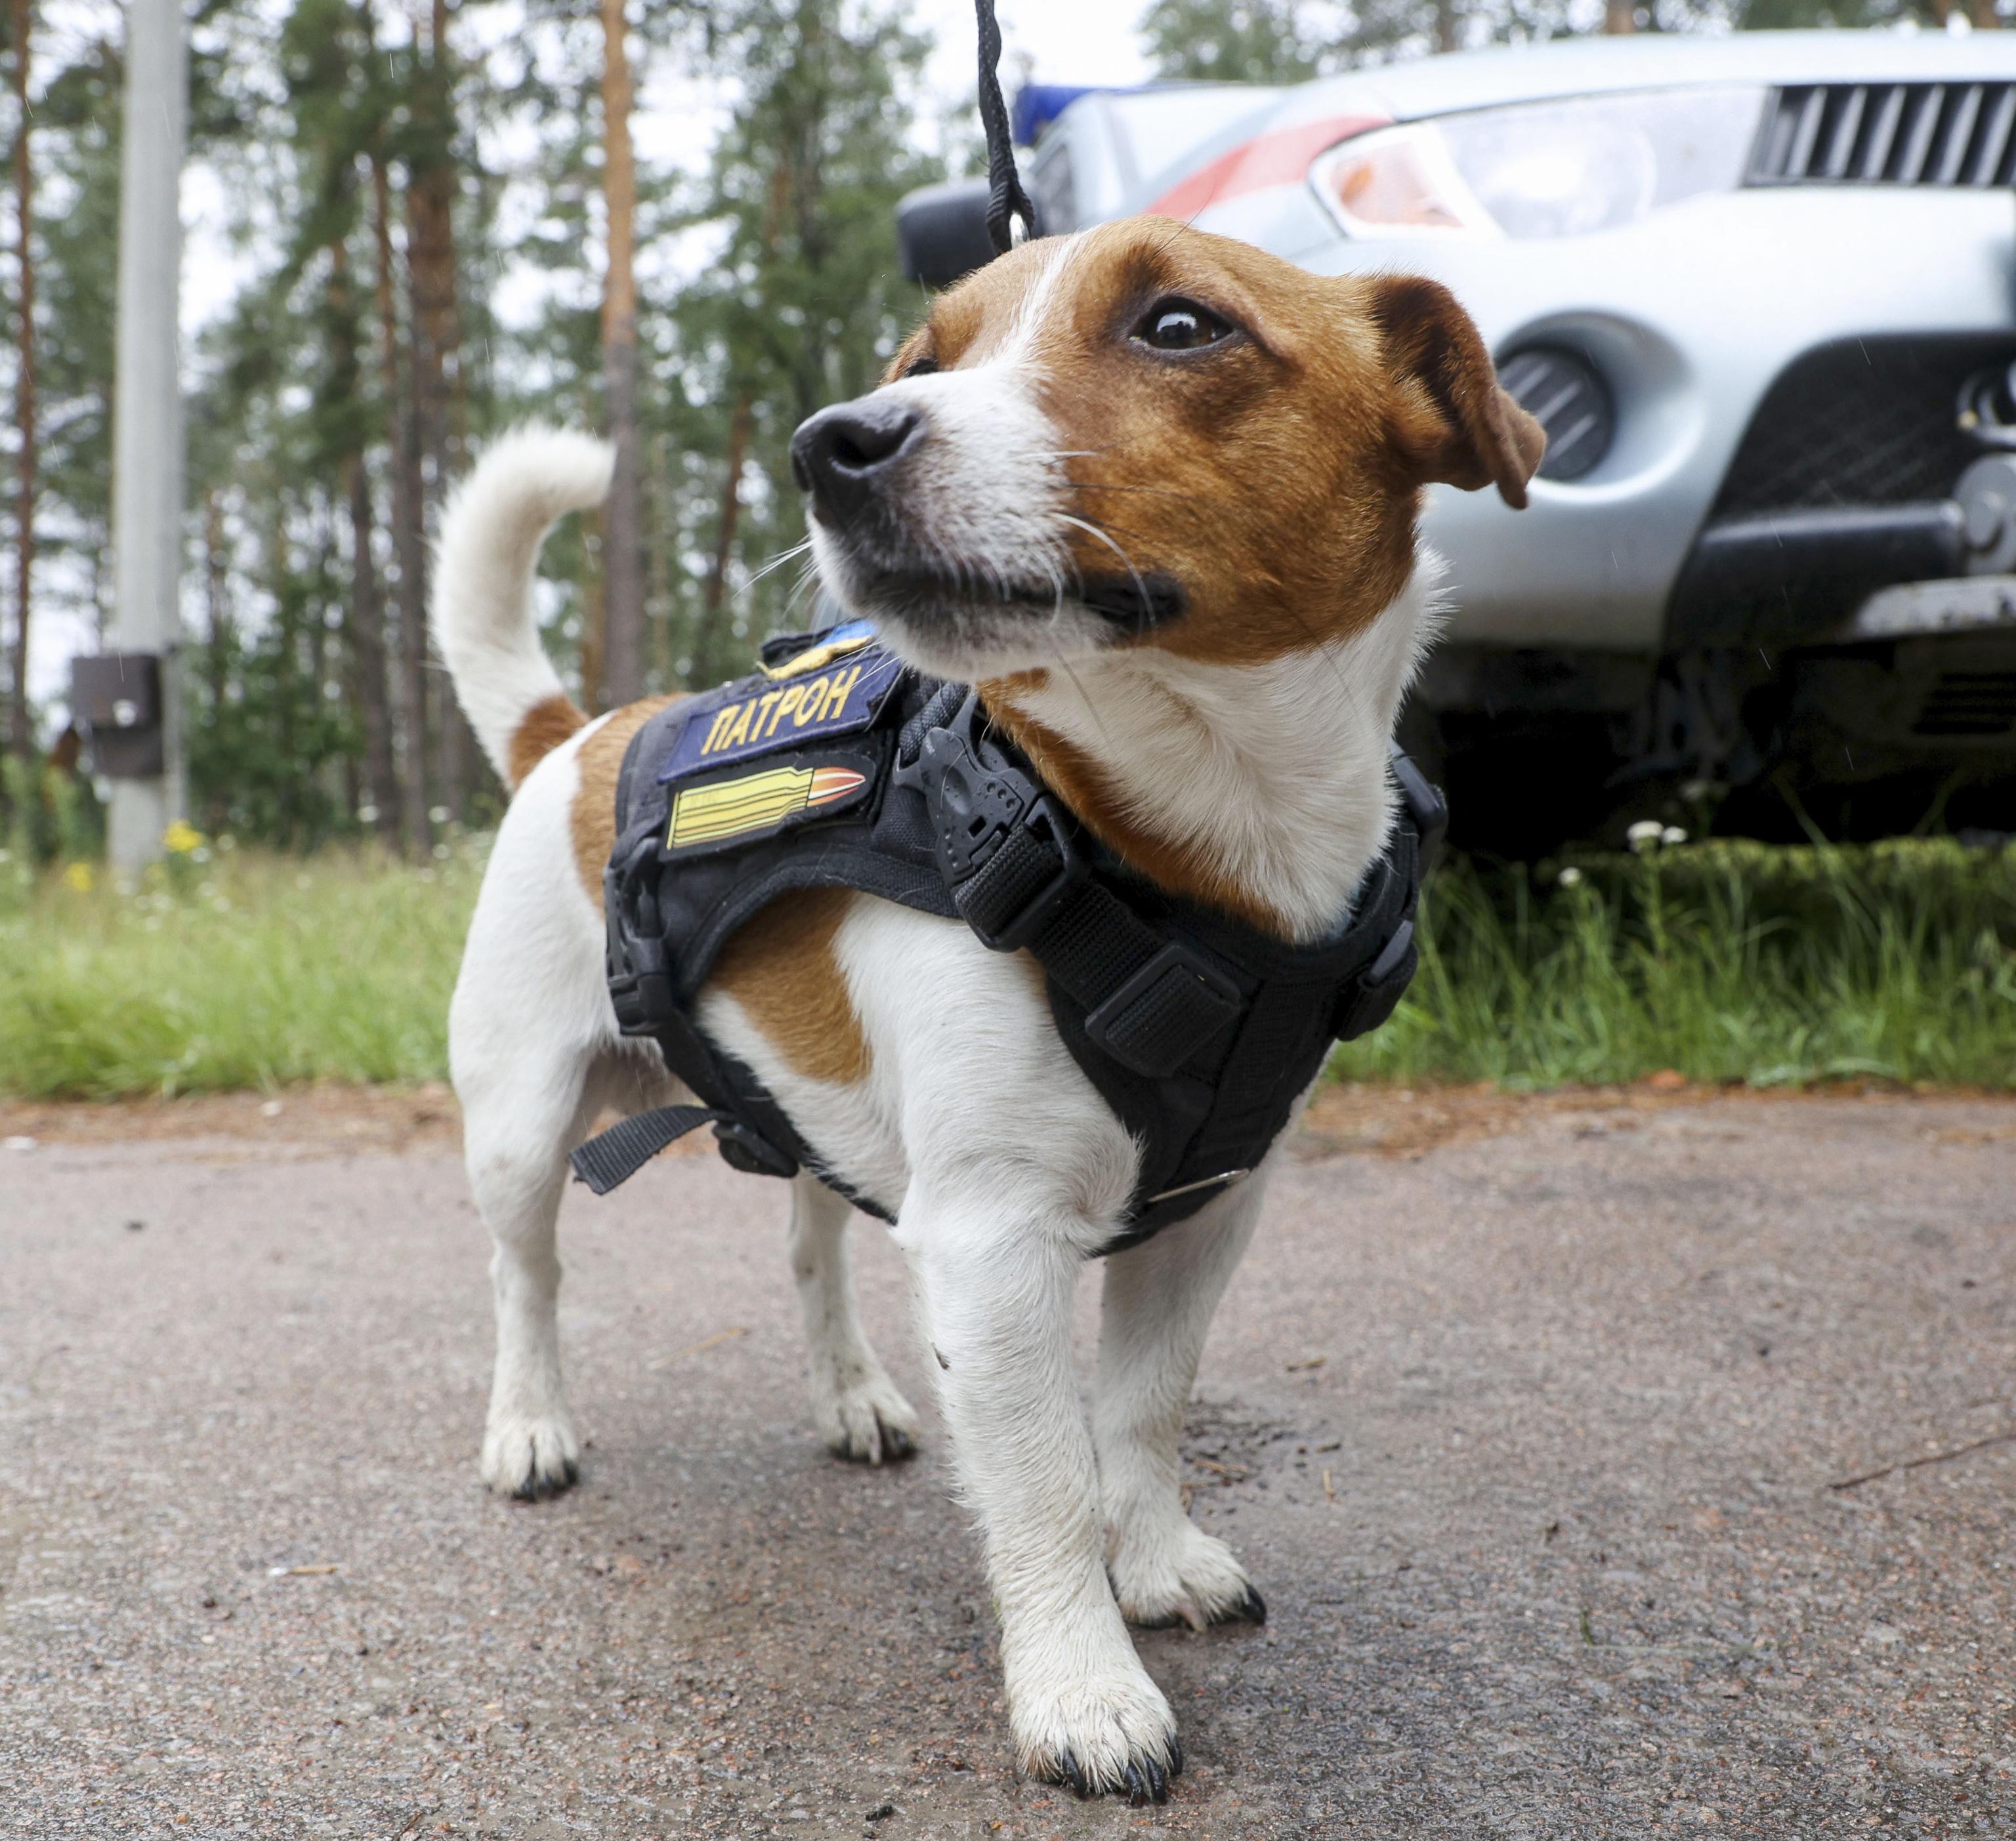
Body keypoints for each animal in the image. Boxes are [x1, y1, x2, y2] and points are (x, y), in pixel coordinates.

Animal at [437, 211, 1540, 1798]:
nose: (835, 442)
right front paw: (1083, 1687)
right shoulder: (991, 1246)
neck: (1184, 856)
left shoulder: (1206, 1210)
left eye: (1181, 326)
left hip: (819, 1126)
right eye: (919, 360)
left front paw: (1155, 1559)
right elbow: (1041, 1481)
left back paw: (851, 1393)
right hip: (523, 1130)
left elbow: (1140, 1408)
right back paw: (530, 1425)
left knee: (812, 1256)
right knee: (525, 1279)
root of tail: (576, 737)